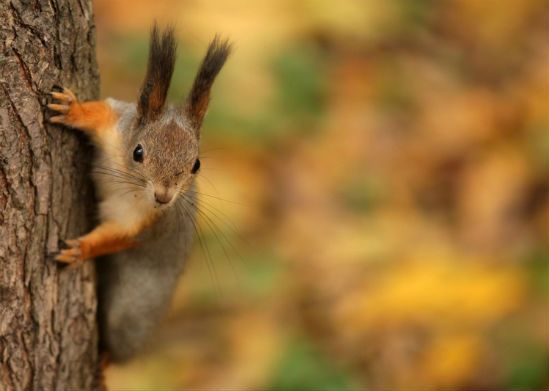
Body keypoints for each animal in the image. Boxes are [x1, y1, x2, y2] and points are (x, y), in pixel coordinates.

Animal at [45, 23, 229, 362]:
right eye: (138, 152)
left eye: (196, 164)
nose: (163, 197)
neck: (130, 185)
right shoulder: (116, 125)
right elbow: (98, 111)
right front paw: (72, 109)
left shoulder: (147, 223)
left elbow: (118, 236)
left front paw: (79, 250)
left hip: (129, 318)